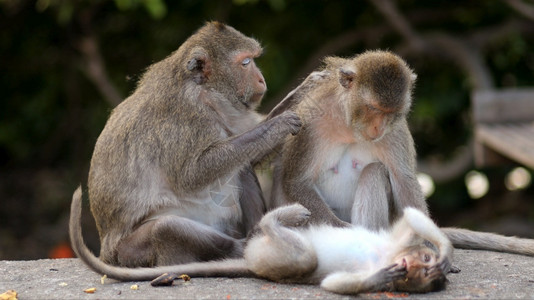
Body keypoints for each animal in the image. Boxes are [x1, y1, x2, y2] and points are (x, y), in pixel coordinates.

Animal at [70, 22, 310, 268]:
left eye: (253, 59)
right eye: (245, 63)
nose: (261, 80)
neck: (205, 90)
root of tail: (106, 252)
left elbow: (251, 156)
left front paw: (304, 90)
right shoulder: (186, 117)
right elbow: (193, 174)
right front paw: (278, 124)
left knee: (241, 168)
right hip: (130, 251)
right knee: (166, 227)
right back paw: (249, 241)